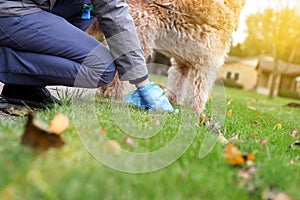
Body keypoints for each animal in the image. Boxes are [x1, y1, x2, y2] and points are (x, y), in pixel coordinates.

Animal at [86, 0, 244, 112]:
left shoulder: (183, 63)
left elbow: (177, 83)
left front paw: (175, 101)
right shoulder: (207, 63)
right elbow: (200, 90)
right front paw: (198, 111)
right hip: (139, 36)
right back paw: (112, 93)